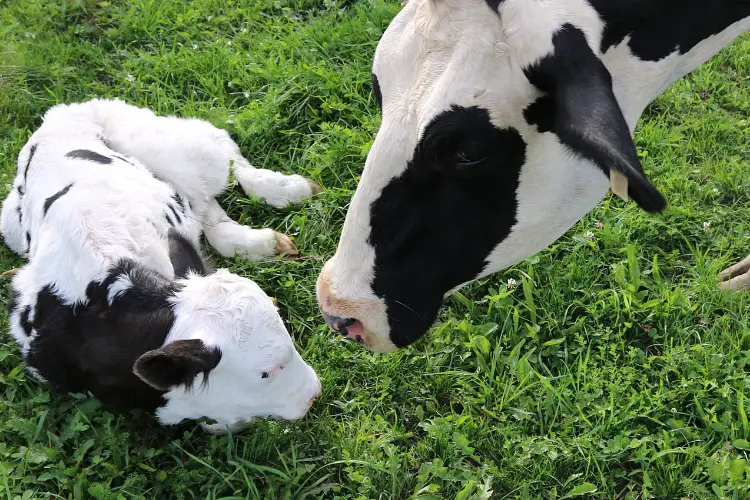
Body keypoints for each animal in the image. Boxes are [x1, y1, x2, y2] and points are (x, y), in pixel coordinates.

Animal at [0, 98, 324, 434]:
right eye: (267, 372)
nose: (315, 392)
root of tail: (57, 114)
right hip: (10, 227)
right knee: (206, 209)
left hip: (169, 146)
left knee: (224, 155)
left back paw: (288, 190)